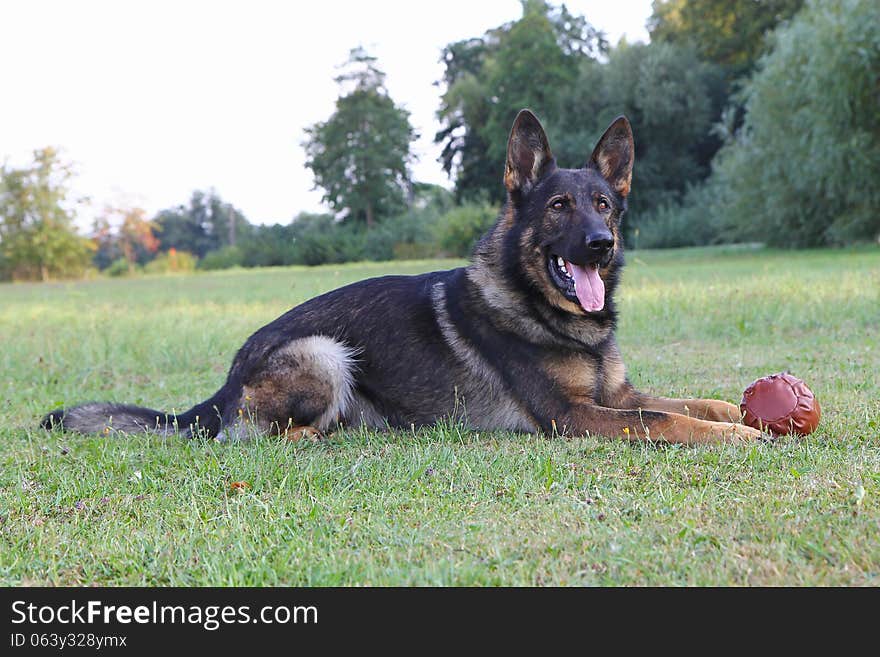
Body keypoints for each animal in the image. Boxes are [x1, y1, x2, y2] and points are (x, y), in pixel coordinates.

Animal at [43, 110, 764, 444]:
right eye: (560, 205)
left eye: (606, 205)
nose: (600, 244)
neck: (545, 312)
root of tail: (226, 379)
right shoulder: (574, 416)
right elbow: (666, 420)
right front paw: (739, 435)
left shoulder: (616, 394)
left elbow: (687, 401)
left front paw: (739, 412)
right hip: (324, 353)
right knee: (268, 438)